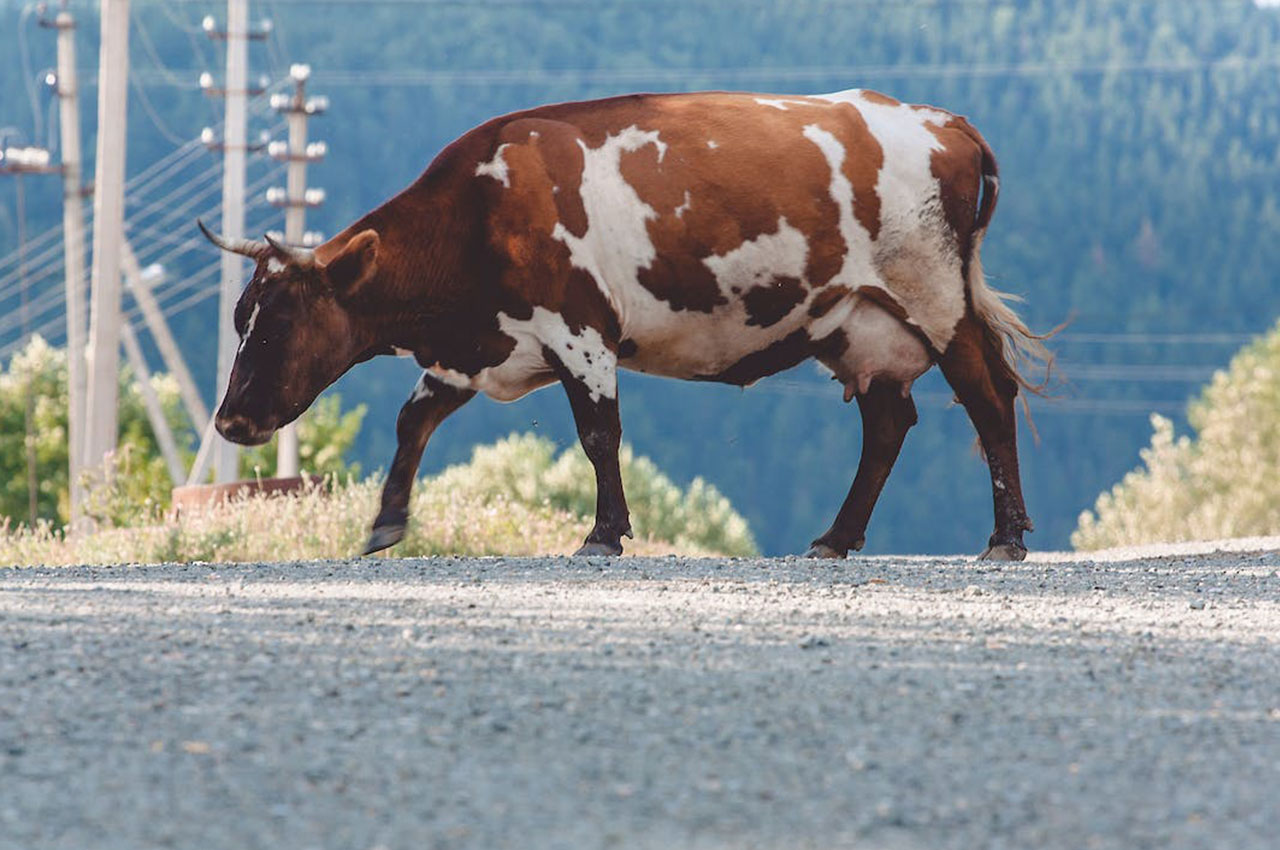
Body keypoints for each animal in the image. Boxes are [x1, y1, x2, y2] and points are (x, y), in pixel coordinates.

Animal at [204, 89, 1049, 560]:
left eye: (280, 320)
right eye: (240, 316)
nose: (231, 421)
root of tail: (944, 121)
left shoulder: (580, 329)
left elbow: (598, 434)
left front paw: (603, 533)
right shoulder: (481, 348)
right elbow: (413, 420)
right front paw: (384, 525)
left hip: (935, 296)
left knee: (988, 396)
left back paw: (1004, 538)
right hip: (856, 323)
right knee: (887, 423)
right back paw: (834, 540)